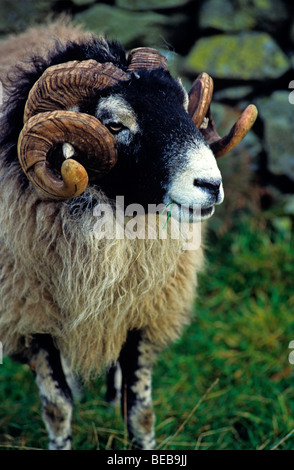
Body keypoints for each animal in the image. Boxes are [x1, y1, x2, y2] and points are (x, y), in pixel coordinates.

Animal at [0, 20, 258, 450]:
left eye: (183, 109)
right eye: (115, 125)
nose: (211, 185)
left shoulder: (143, 313)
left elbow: (139, 409)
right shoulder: (30, 320)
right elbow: (58, 407)